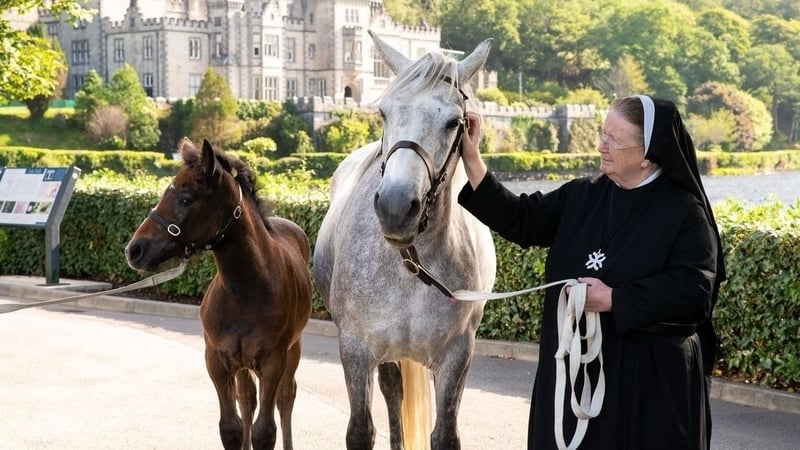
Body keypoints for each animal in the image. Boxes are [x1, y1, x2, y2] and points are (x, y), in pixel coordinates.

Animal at [125, 139, 312, 450]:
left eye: (186, 199)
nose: (135, 250)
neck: (244, 291)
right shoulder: (216, 359)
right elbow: (231, 427)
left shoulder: (273, 361)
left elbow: (265, 430)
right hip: (244, 363)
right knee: (247, 398)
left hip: (293, 347)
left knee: (286, 396)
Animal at [312, 31, 496, 449]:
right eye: (383, 112)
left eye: (454, 122)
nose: (396, 206)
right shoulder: (355, 348)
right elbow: (361, 430)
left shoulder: (457, 354)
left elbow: (445, 435)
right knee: (392, 391)